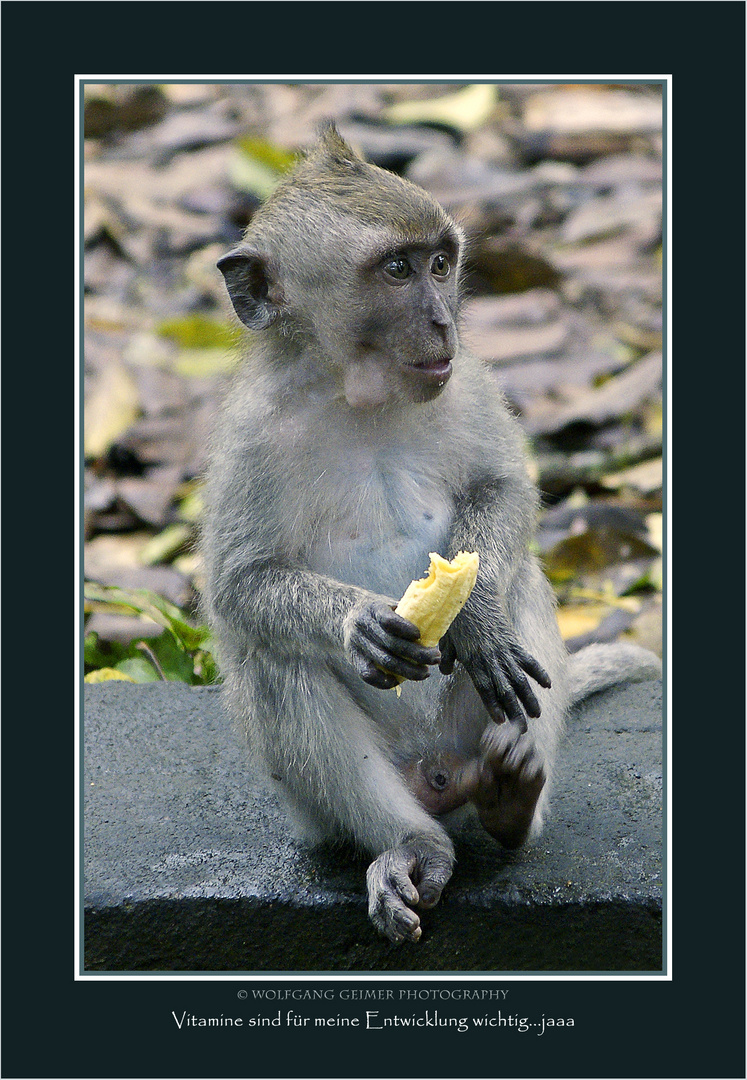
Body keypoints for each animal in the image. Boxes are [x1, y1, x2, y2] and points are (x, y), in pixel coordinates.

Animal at [201, 122, 660, 941]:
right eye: (395, 269)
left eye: (441, 265)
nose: (444, 319)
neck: (358, 395)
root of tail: (438, 776)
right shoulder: (251, 433)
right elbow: (239, 585)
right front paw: (357, 622)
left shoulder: (467, 378)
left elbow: (501, 491)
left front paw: (473, 615)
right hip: (326, 809)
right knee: (273, 660)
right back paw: (414, 844)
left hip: (468, 730)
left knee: (520, 584)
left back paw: (510, 801)